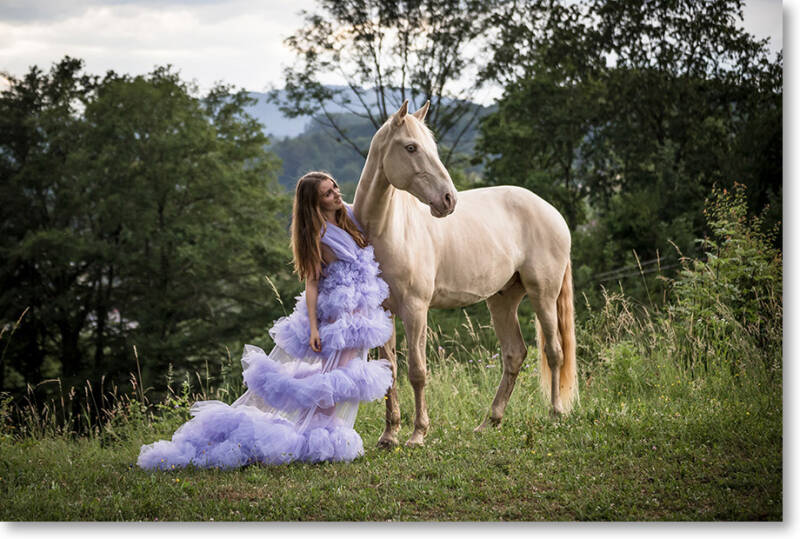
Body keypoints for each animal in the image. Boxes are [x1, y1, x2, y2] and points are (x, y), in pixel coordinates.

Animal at [353, 100, 577, 447]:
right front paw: (389, 436)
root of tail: (551, 211)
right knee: (514, 354)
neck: (388, 231)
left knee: (554, 352)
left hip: (544, 295)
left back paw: (555, 414)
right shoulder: (383, 311)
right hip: (502, 301)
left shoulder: (416, 310)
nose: (449, 200)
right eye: (411, 147)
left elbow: (417, 371)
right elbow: (389, 369)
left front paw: (417, 434)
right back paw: (490, 422)